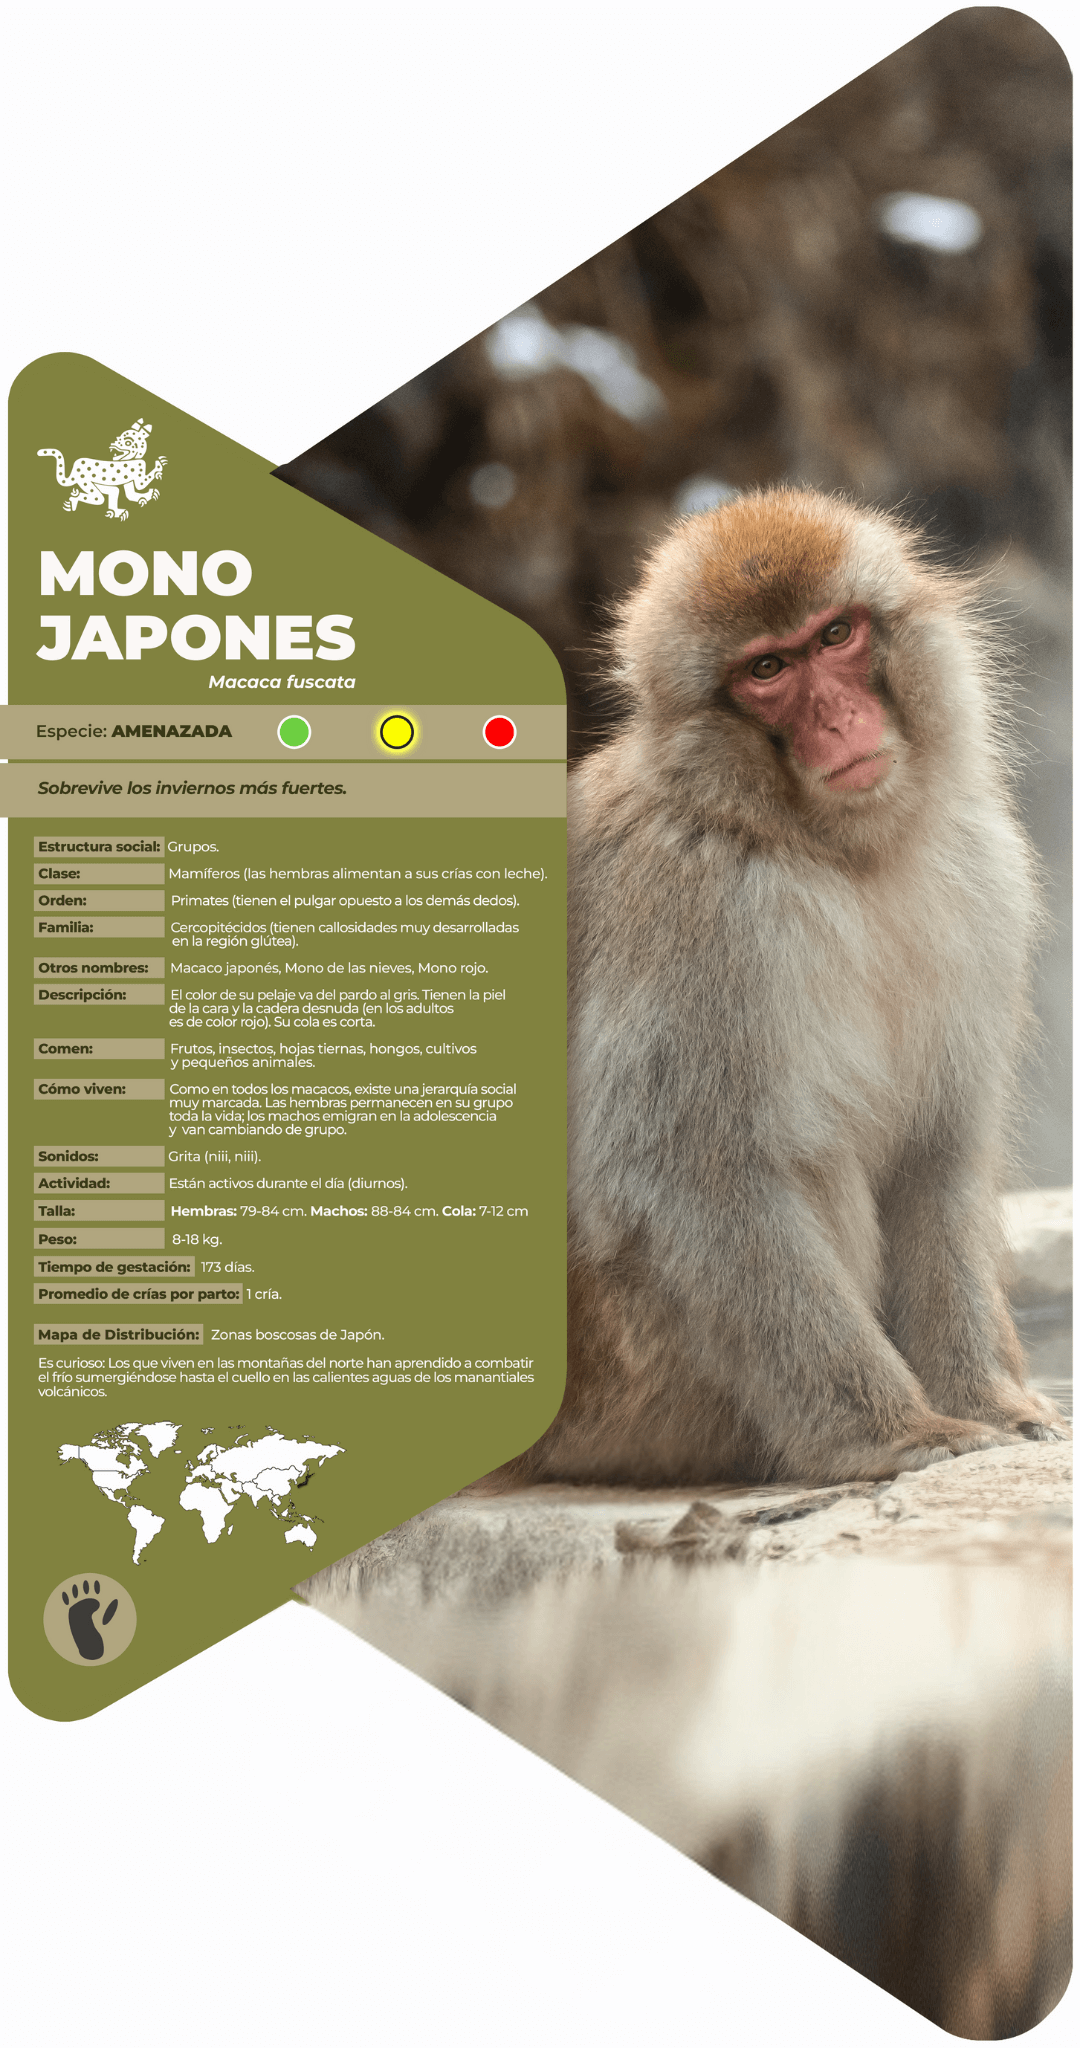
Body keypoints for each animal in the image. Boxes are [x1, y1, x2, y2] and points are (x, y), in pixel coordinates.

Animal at [503, 486, 1068, 1488]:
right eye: (768, 669)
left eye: (835, 635)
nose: (839, 719)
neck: (831, 847)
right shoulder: (698, 909)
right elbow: (693, 1172)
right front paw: (899, 1432)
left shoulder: (982, 866)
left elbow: (941, 1147)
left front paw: (986, 1401)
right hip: (623, 1382)